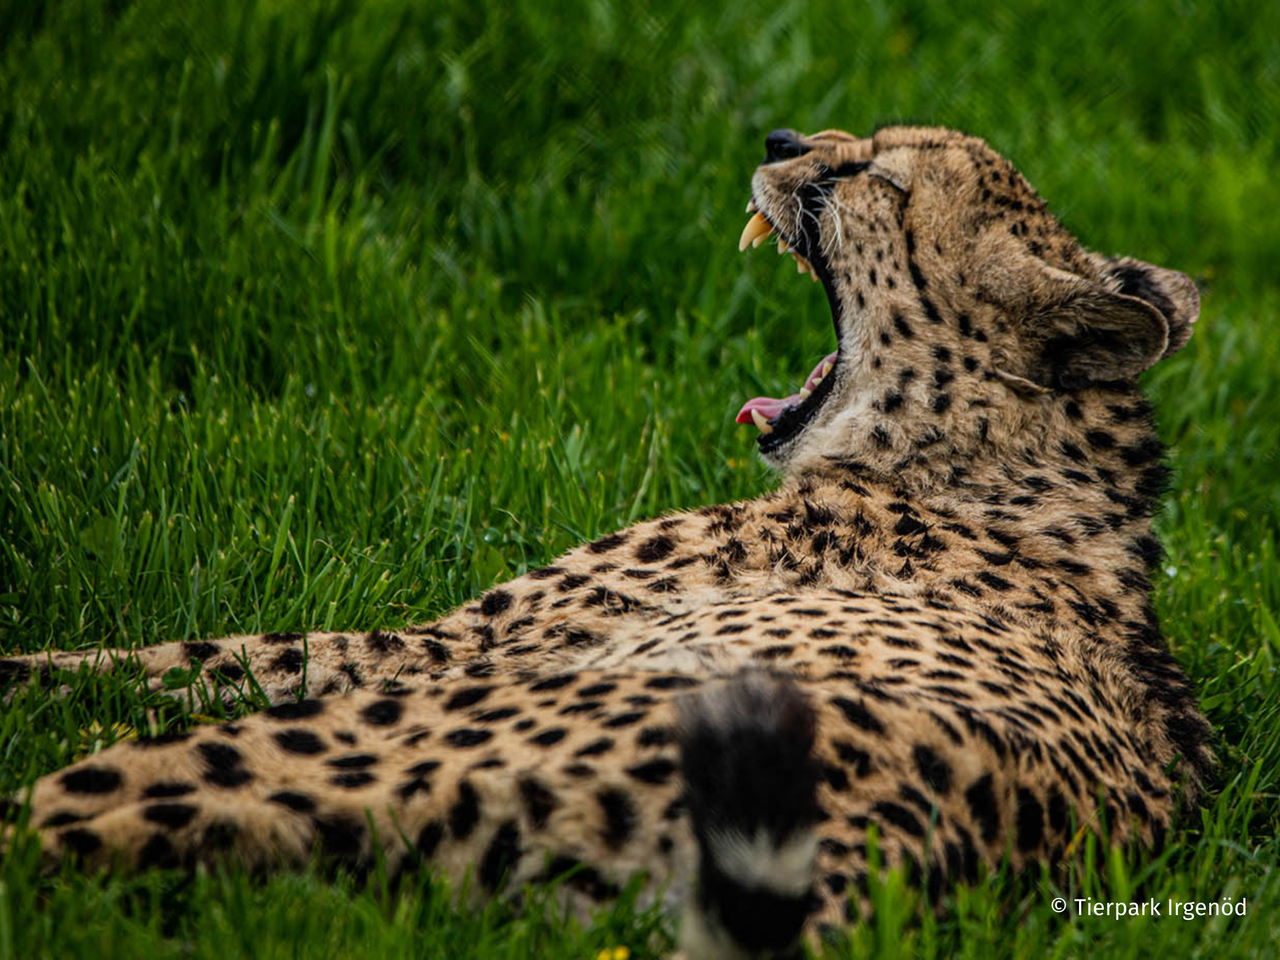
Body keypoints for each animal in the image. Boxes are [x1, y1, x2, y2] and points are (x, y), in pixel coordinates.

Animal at [0, 128, 1208, 960]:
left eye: (879, 178)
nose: (780, 143)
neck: (978, 465)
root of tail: (909, 840)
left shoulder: (436, 651)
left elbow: (189, 656)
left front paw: (35, 670)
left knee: (44, 821)